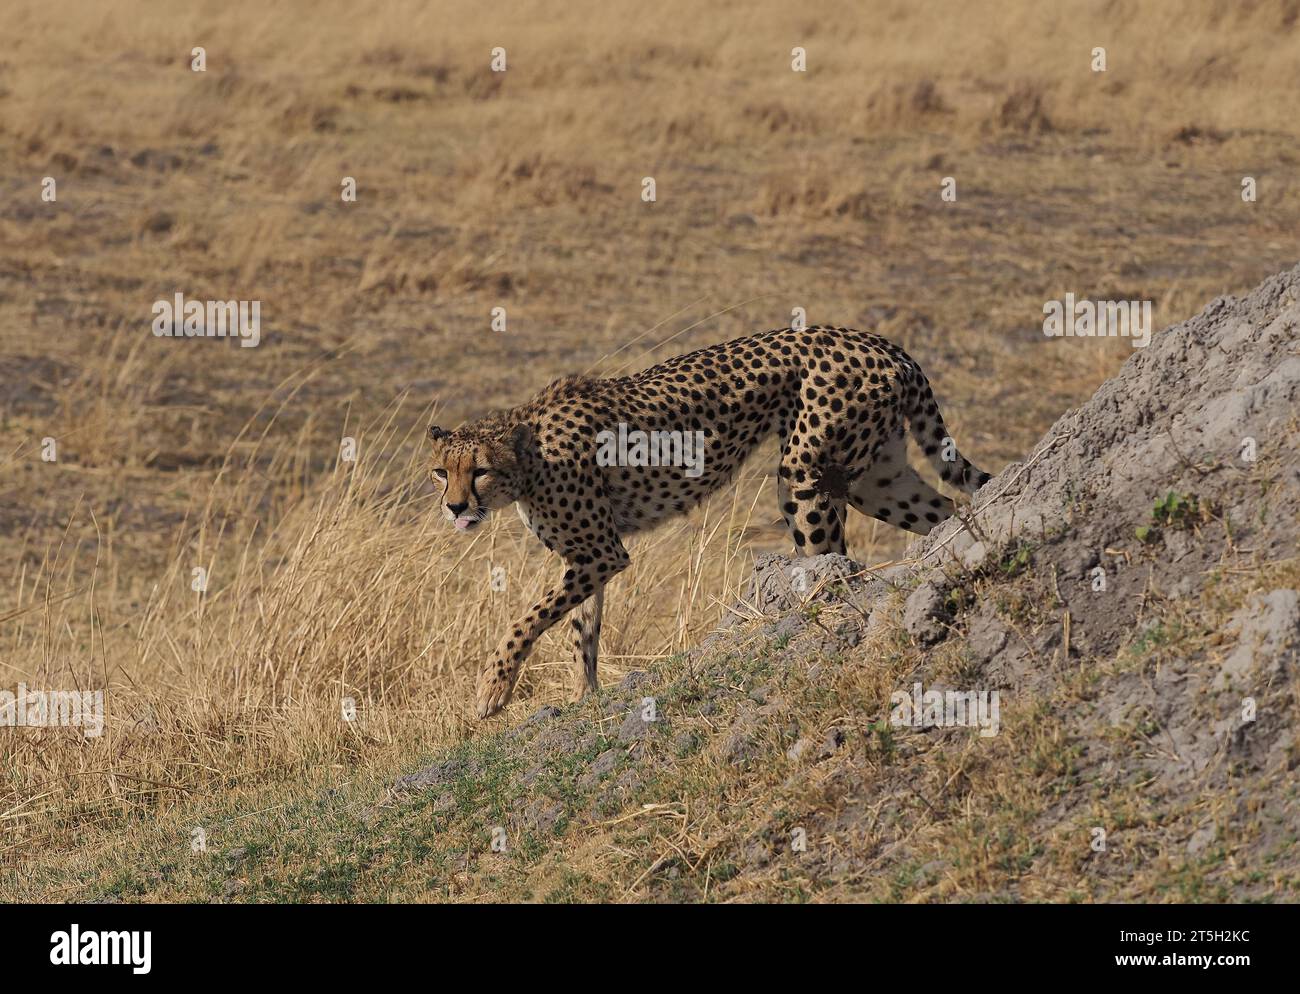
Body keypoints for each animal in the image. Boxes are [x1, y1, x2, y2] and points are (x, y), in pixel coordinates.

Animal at [423, 322, 982, 717]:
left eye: (480, 471)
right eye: (440, 472)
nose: (454, 507)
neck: (530, 457)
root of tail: (878, 341)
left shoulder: (603, 552)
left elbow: (528, 618)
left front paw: (493, 689)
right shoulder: (586, 556)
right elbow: (582, 630)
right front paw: (586, 698)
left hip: (804, 475)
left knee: (830, 556)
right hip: (877, 480)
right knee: (950, 510)